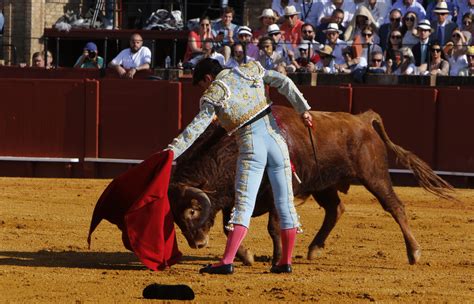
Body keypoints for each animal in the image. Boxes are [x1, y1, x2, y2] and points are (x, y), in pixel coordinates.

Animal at [168, 105, 454, 266]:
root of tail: (362, 120)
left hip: (375, 176)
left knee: (395, 207)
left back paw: (414, 252)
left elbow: (274, 226)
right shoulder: (235, 197)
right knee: (335, 209)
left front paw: (277, 258)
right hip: (324, 185)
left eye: (192, 210)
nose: (197, 244)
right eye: (176, 217)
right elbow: (231, 228)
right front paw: (246, 256)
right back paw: (315, 248)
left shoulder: (276, 193)